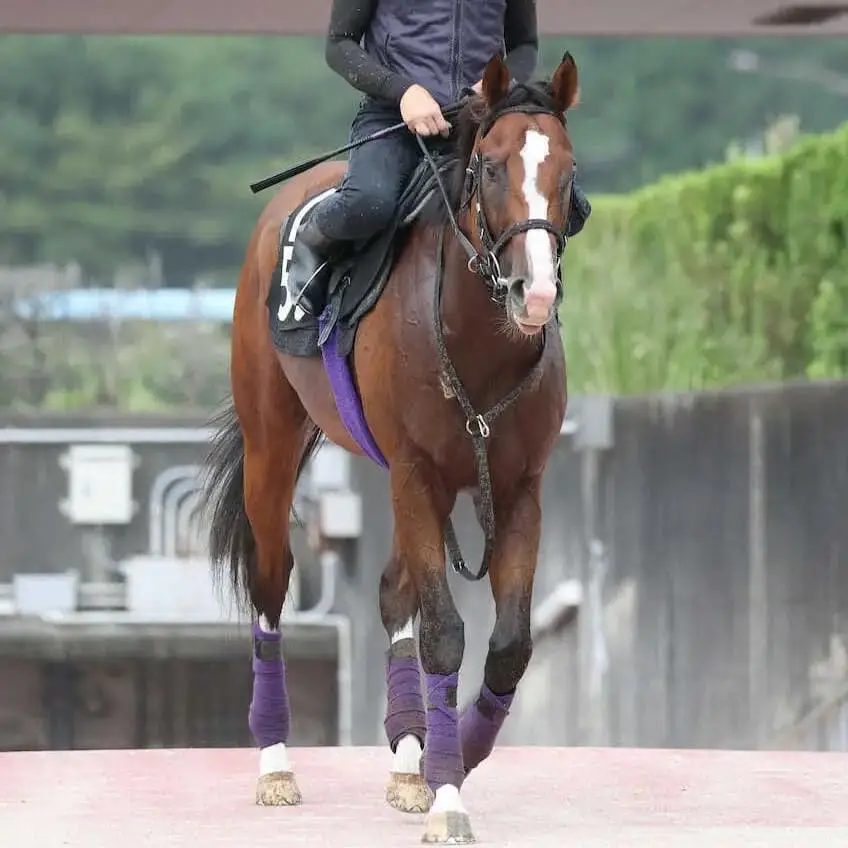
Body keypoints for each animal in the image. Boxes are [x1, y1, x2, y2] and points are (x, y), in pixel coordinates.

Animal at [202, 53, 580, 840]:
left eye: (567, 171)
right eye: (490, 167)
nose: (532, 294)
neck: (477, 345)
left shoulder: (517, 488)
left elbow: (508, 645)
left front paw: (454, 756)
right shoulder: (415, 472)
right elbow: (444, 631)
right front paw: (448, 794)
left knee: (390, 590)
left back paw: (410, 760)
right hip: (273, 447)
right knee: (271, 584)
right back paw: (275, 764)